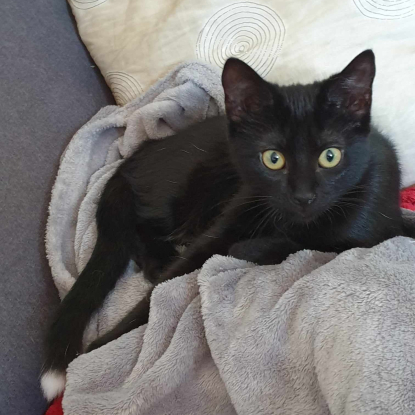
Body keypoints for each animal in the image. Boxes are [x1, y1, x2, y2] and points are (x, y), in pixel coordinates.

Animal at [41, 50, 404, 400]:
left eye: (330, 156)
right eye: (273, 159)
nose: (303, 196)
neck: (287, 219)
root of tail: (140, 151)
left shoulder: (367, 227)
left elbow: (313, 243)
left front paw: (252, 246)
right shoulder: (234, 211)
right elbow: (171, 280)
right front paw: (100, 347)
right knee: (139, 224)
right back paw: (159, 259)